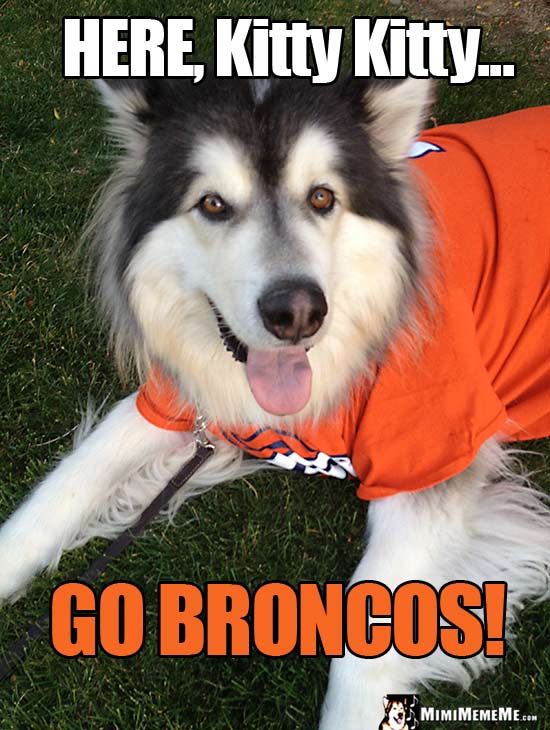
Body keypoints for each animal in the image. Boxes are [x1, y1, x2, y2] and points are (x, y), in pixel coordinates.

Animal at [1, 77, 550, 724]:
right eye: (213, 204)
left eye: (322, 197)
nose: (298, 312)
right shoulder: (183, 401)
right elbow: (58, 492)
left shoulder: (430, 457)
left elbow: (364, 647)